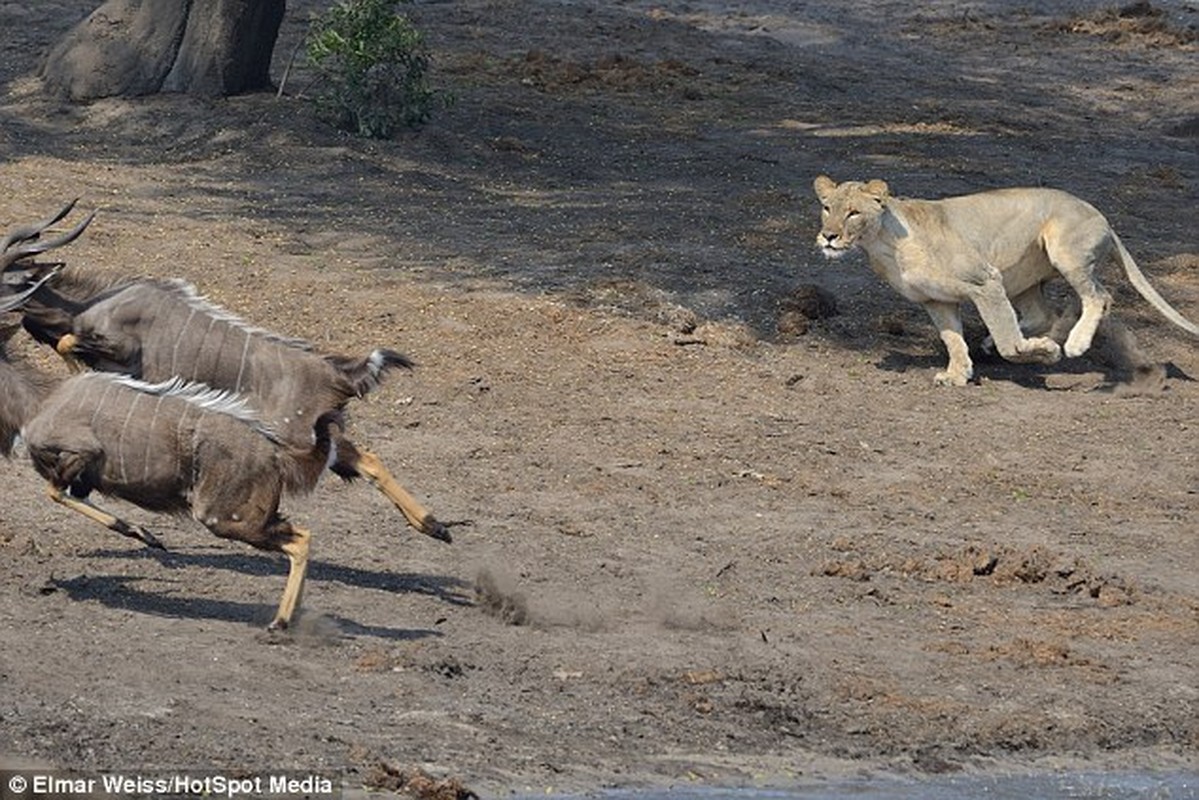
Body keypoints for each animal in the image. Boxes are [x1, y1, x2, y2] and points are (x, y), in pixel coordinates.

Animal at [2, 203, 450, 546]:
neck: (89, 304)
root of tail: (338, 375)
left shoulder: (119, 347)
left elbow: (67, 345)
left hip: (291, 441)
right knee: (366, 458)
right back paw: (435, 527)